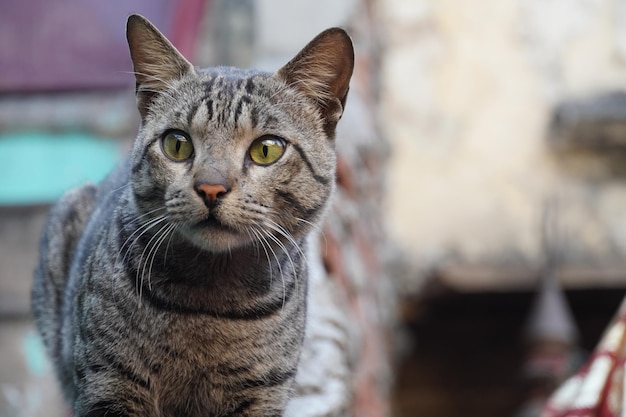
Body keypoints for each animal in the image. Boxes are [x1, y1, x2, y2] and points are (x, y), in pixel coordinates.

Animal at [33, 13, 352, 416]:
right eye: (177, 144)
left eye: (266, 149)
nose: (211, 187)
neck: (209, 304)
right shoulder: (108, 382)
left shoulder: (263, 394)